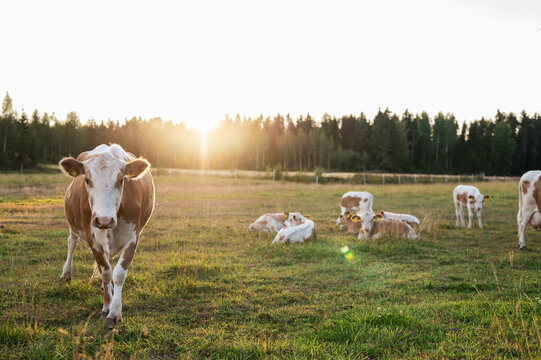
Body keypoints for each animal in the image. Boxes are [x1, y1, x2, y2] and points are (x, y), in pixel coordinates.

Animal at [59, 144, 154, 330]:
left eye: (121, 180)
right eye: (87, 180)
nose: (104, 220)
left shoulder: (132, 238)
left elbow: (117, 274)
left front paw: (115, 312)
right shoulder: (93, 240)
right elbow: (105, 272)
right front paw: (106, 306)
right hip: (73, 226)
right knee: (72, 243)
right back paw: (66, 273)